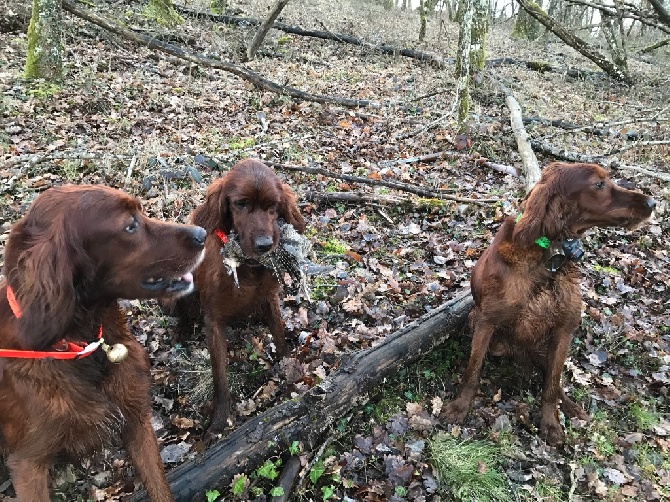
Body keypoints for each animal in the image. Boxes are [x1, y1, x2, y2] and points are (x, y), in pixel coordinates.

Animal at [0, 185, 206, 502]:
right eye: (130, 225)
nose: (202, 233)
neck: (80, 345)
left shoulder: (137, 419)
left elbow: (160, 488)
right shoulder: (27, 463)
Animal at [178, 159, 304, 438]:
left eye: (273, 205)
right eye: (241, 204)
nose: (265, 245)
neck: (247, 266)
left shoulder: (270, 299)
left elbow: (281, 342)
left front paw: (290, 379)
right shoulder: (213, 320)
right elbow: (220, 377)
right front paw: (219, 420)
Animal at [440, 163, 656, 446]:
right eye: (598, 184)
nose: (652, 202)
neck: (548, 256)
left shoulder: (564, 331)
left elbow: (552, 385)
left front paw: (550, 423)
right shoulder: (486, 321)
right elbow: (472, 371)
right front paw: (459, 408)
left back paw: (572, 407)